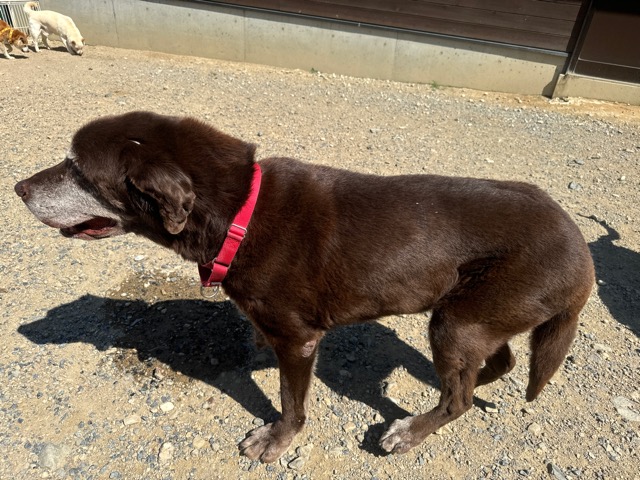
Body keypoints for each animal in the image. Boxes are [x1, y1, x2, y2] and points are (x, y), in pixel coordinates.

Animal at [14, 111, 594, 463]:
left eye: (77, 169)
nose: (18, 187)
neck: (239, 212)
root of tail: (582, 253)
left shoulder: (298, 341)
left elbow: (290, 403)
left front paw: (275, 439)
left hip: (456, 321)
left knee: (460, 399)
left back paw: (410, 429)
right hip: (471, 316)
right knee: (497, 365)